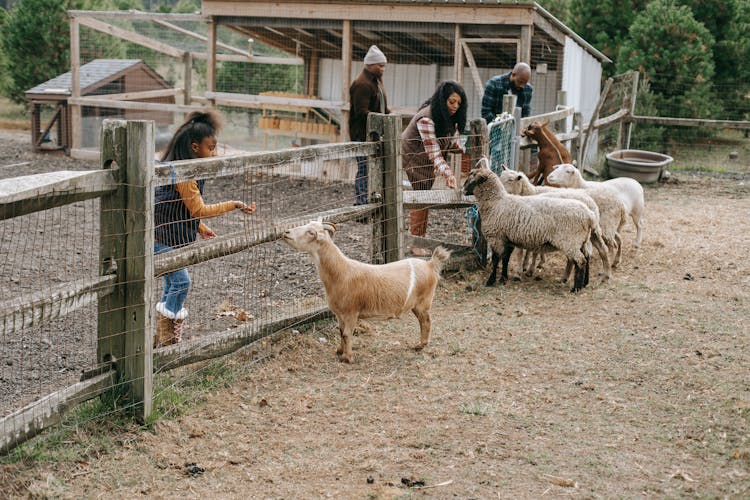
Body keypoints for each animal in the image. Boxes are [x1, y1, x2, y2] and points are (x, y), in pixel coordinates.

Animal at [284, 221, 452, 362]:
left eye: (310, 232)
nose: (285, 232)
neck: (341, 272)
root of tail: (430, 264)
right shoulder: (339, 314)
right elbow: (340, 331)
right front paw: (339, 350)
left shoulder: (351, 312)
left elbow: (347, 334)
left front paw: (347, 358)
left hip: (423, 302)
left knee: (426, 322)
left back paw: (419, 345)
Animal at [464, 163, 600, 292]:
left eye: (473, 178)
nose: (463, 189)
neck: (496, 202)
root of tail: (590, 215)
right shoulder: (508, 239)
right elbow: (506, 259)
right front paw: (503, 278)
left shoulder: (496, 237)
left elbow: (496, 259)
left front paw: (491, 281)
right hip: (581, 240)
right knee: (586, 257)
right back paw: (584, 283)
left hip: (570, 241)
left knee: (580, 261)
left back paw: (576, 288)